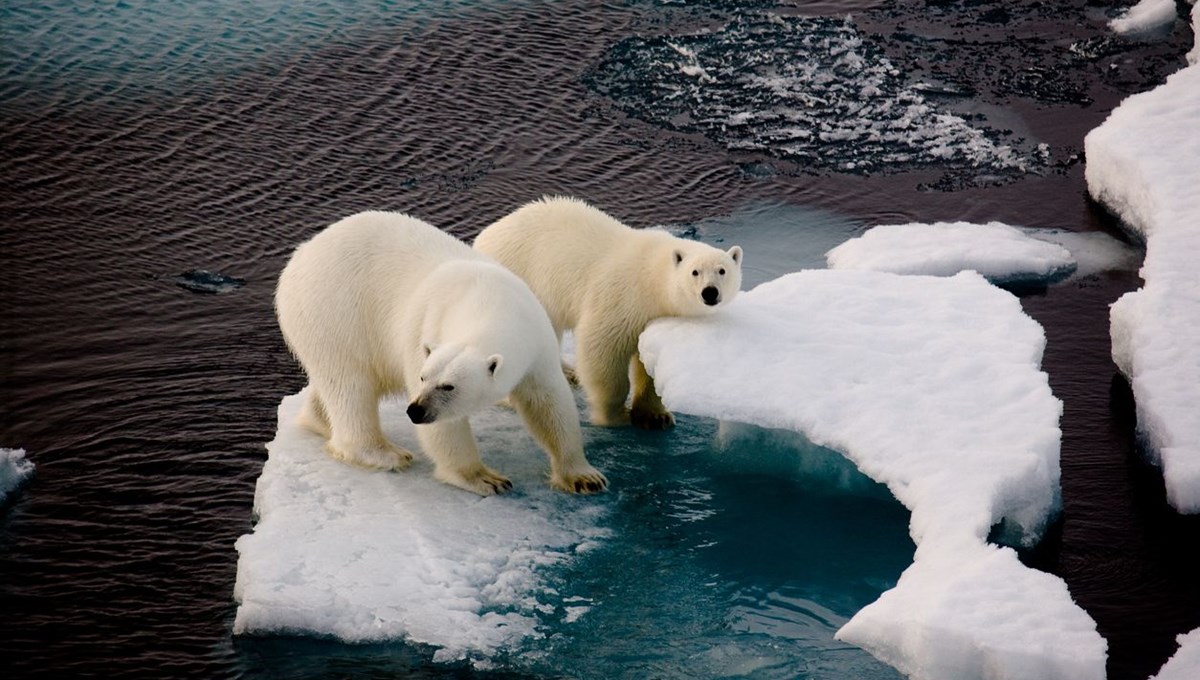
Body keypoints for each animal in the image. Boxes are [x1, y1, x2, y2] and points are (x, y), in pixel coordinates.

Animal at [274, 209, 604, 496]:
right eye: (423, 378)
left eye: (448, 386)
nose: (415, 410)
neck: (489, 300)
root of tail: (300, 255)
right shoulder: (425, 327)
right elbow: (447, 430)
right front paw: (486, 478)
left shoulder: (535, 339)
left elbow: (549, 403)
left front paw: (584, 477)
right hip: (334, 312)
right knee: (350, 385)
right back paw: (386, 454)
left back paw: (319, 420)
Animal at [470, 196, 739, 431]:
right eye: (695, 272)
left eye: (722, 270)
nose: (710, 293)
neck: (651, 277)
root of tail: (482, 238)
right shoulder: (621, 298)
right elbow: (602, 350)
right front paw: (614, 415)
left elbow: (649, 363)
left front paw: (655, 416)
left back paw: (568, 373)